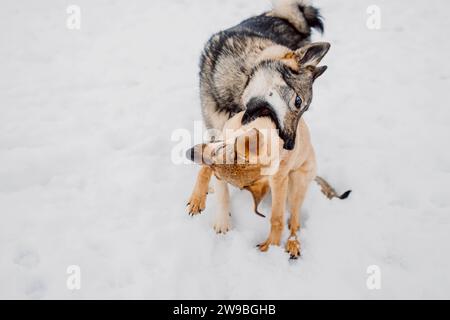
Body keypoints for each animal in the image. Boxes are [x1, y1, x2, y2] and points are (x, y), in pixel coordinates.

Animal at [185, 112, 350, 258]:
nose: (189, 153)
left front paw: (271, 245)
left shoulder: (279, 180)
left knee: (295, 221)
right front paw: (208, 209)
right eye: (220, 149)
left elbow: (277, 218)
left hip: (297, 182)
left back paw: (293, 243)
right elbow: (219, 191)